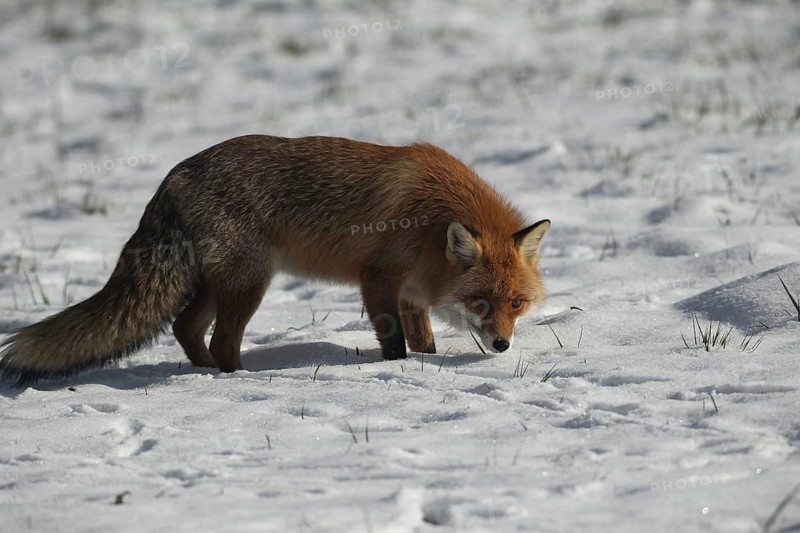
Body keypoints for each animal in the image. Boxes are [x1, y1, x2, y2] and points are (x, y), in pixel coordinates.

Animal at [0, 135, 550, 387]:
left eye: (517, 303)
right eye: (479, 302)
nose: (501, 346)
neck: (432, 216)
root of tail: (175, 174)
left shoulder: (413, 292)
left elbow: (424, 343)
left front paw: (426, 364)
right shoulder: (377, 278)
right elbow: (393, 342)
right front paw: (397, 371)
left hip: (218, 284)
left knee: (185, 328)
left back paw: (203, 377)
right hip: (250, 283)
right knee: (220, 340)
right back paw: (239, 381)